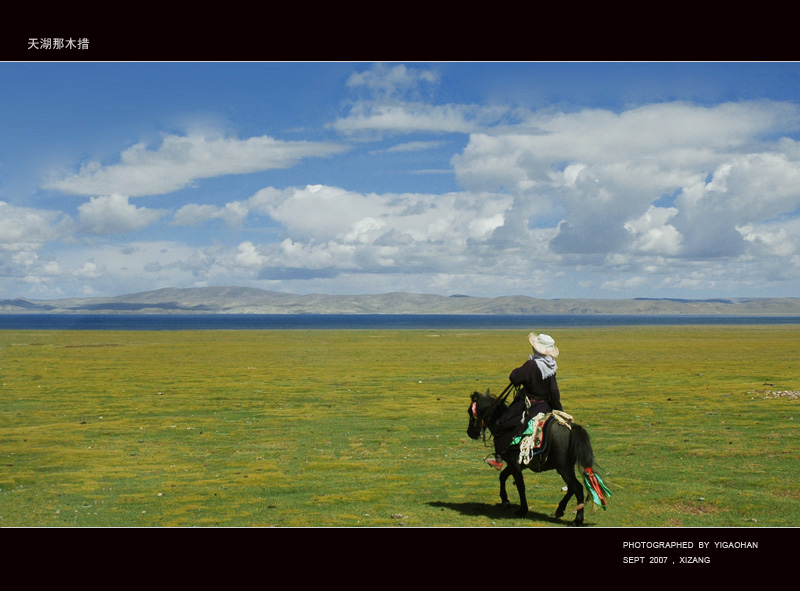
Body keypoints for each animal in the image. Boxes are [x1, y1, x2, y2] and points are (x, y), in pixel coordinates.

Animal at [466, 390, 604, 524]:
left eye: (470, 412)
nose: (470, 432)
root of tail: (571, 428)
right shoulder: (515, 464)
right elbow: (503, 476)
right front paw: (505, 499)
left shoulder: (514, 464)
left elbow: (520, 486)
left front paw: (522, 510)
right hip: (567, 467)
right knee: (572, 487)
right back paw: (560, 510)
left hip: (563, 467)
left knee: (577, 488)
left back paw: (577, 519)